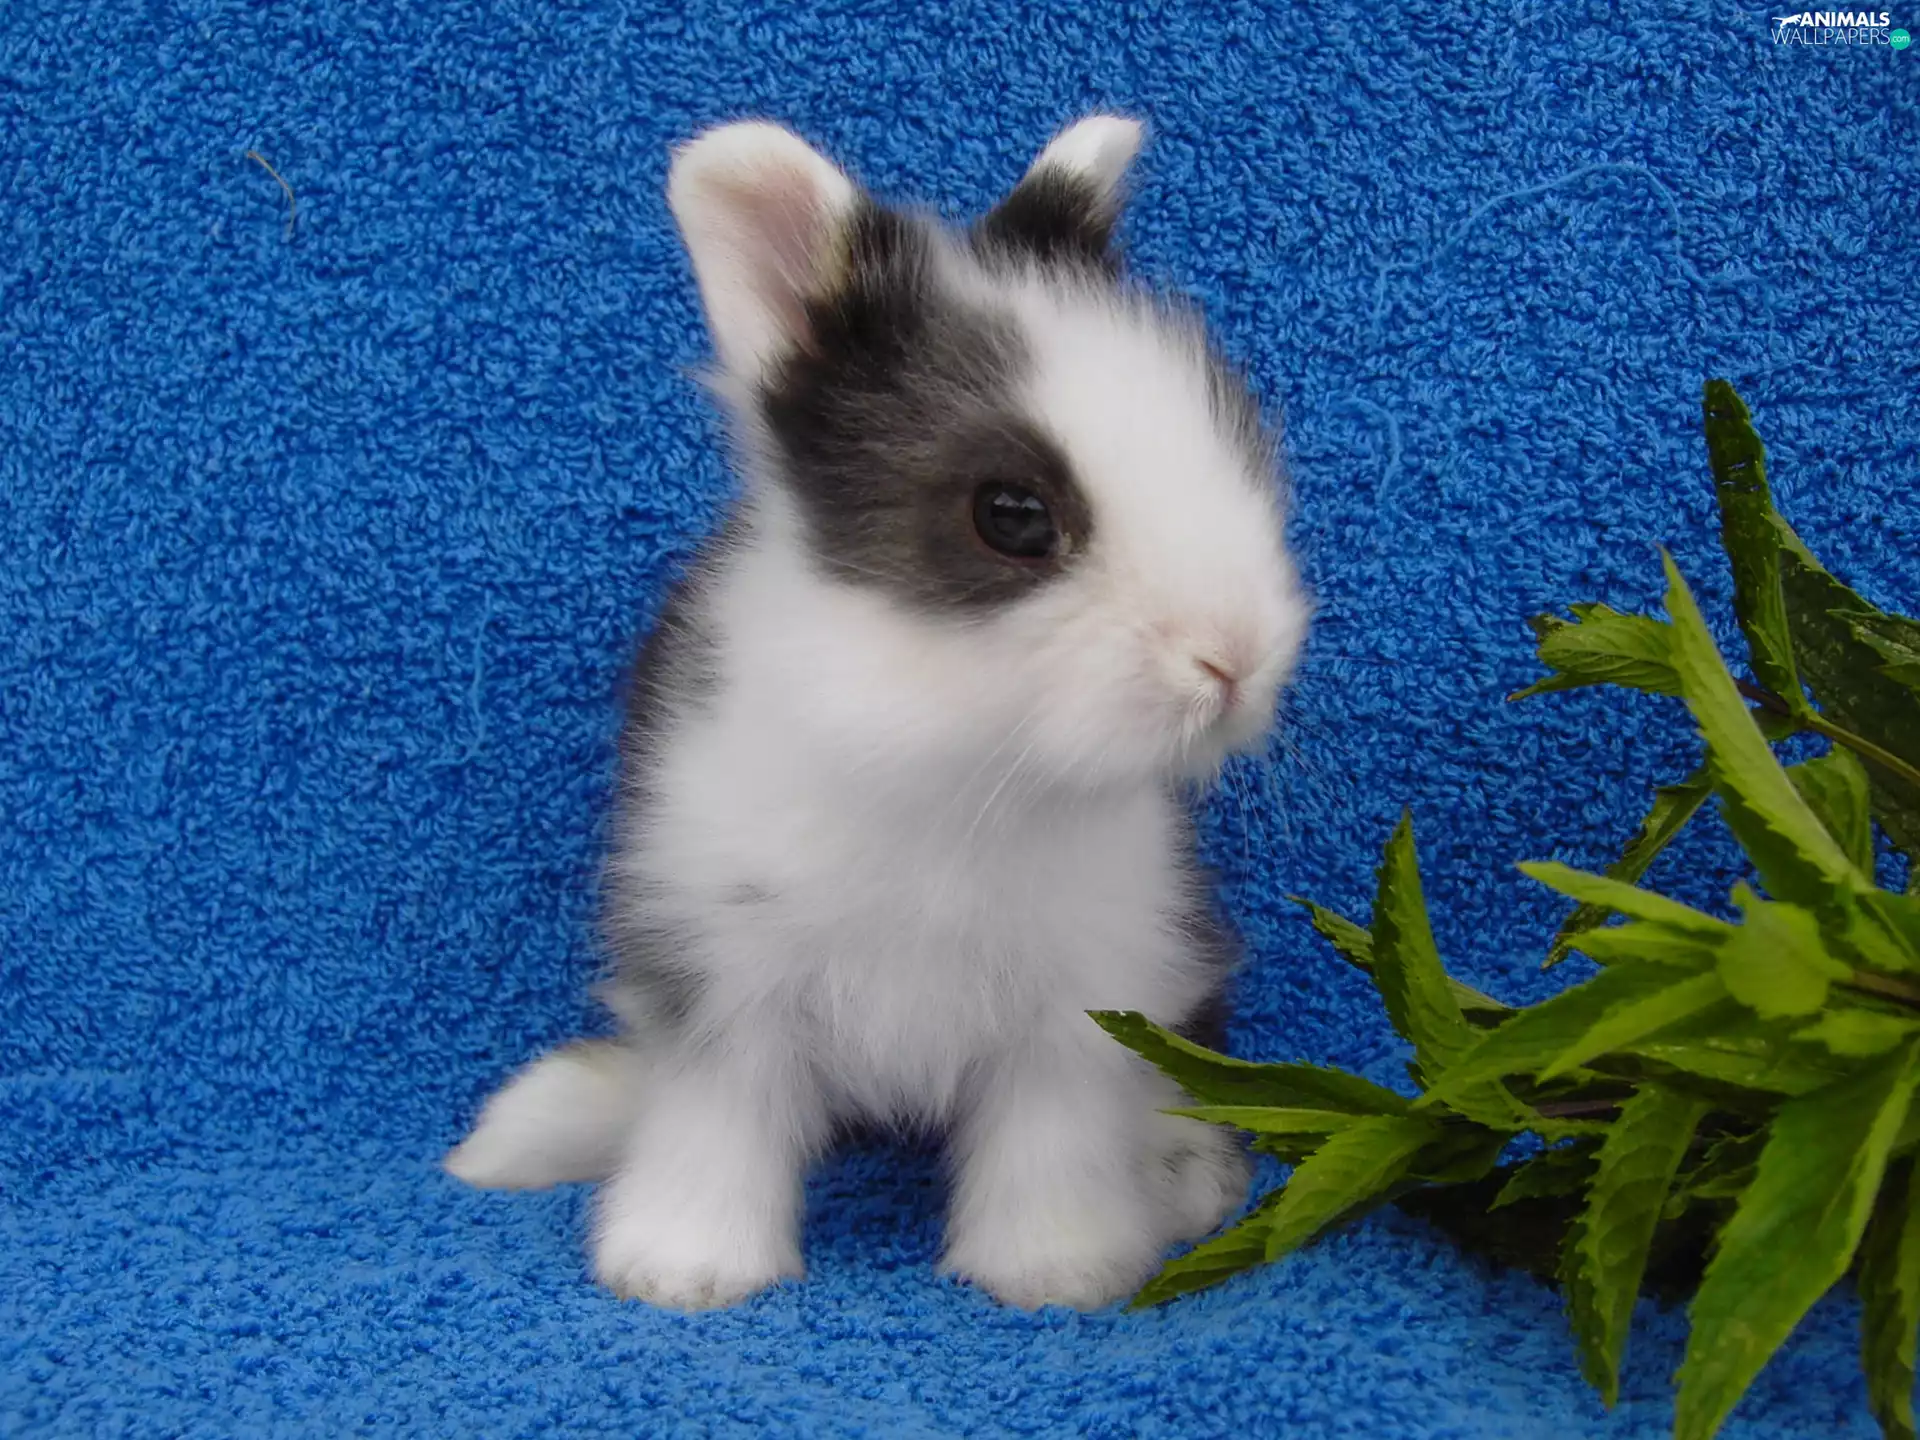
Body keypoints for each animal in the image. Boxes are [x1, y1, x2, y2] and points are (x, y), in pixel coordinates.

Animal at [444, 114, 1311, 1313]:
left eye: (1230, 446)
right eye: (1012, 515)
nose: (1237, 660)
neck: (946, 754)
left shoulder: (1087, 989)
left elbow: (1054, 1134)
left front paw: (1055, 1270)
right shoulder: (718, 964)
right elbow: (713, 1119)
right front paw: (682, 1269)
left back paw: (1186, 1179)